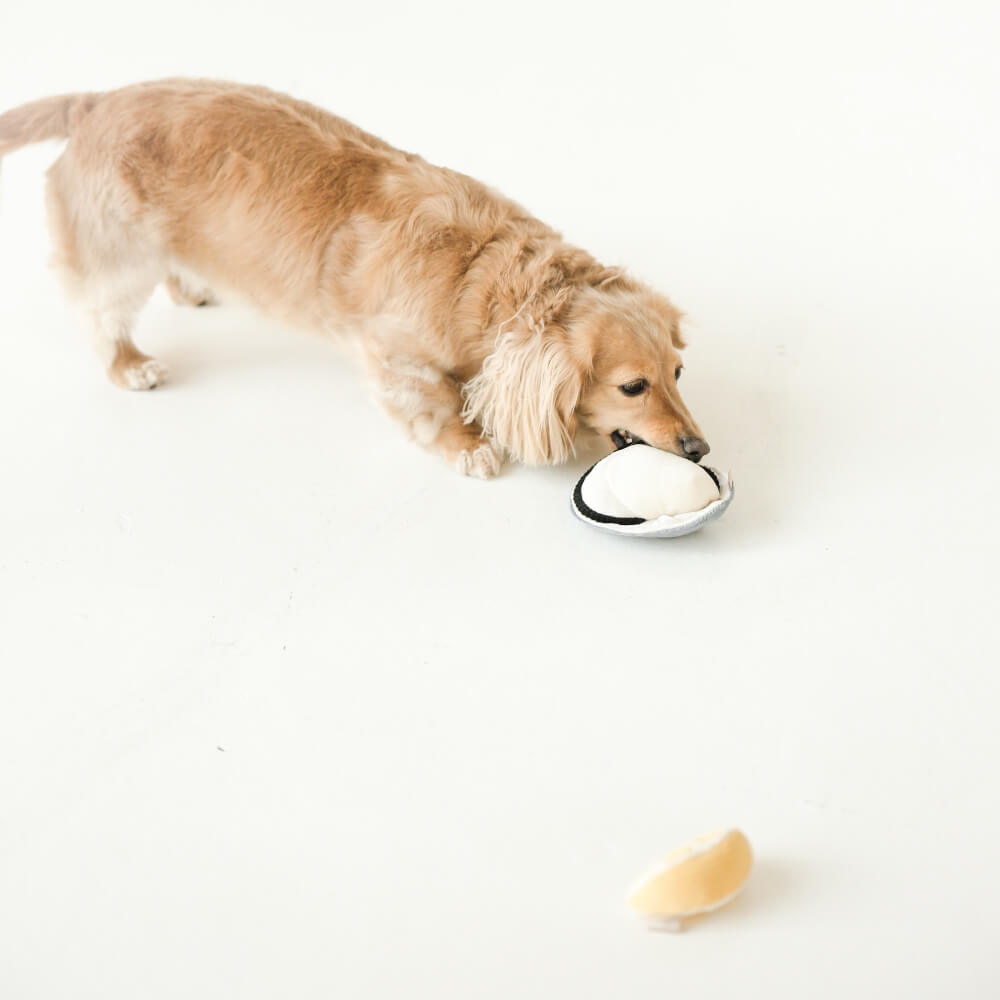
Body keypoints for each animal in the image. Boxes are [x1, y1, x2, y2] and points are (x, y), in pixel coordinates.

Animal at [0, 80, 708, 478]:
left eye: (678, 373)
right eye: (633, 385)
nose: (700, 448)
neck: (480, 275)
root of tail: (95, 103)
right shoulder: (396, 357)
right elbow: (434, 403)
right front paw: (468, 445)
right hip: (116, 255)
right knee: (101, 316)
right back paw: (131, 363)